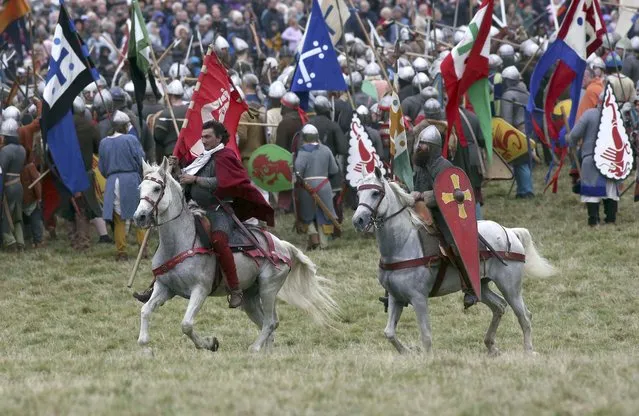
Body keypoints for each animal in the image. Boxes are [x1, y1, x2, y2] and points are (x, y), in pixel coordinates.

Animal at [132, 158, 338, 352]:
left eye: (157, 188)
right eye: (140, 188)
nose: (139, 217)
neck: (180, 242)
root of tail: (283, 247)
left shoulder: (200, 290)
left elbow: (186, 325)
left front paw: (210, 343)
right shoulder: (165, 288)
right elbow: (144, 312)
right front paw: (144, 343)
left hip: (268, 289)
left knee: (271, 322)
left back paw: (254, 349)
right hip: (250, 297)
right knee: (267, 323)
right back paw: (267, 353)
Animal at [350, 169, 556, 354]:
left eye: (376, 193)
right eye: (358, 193)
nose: (358, 220)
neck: (403, 243)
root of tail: (509, 232)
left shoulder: (418, 298)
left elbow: (426, 336)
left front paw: (427, 359)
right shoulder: (396, 297)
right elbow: (389, 333)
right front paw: (407, 352)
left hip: (510, 286)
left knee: (524, 315)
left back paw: (528, 351)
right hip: (481, 284)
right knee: (499, 306)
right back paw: (491, 346)